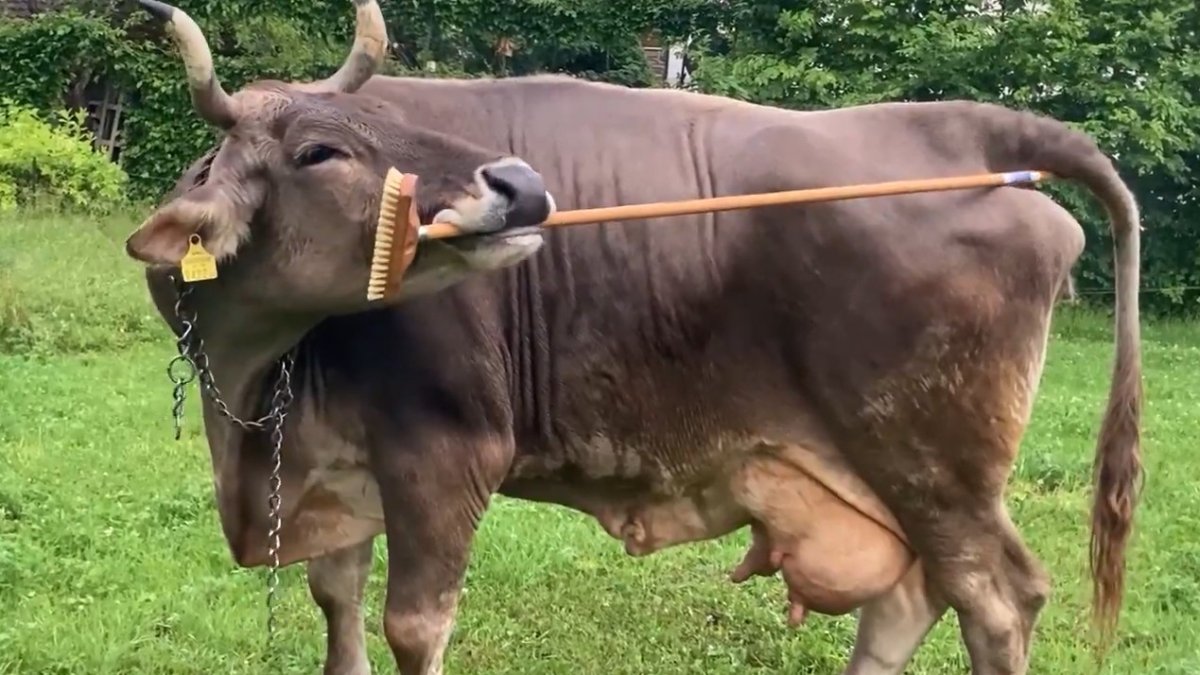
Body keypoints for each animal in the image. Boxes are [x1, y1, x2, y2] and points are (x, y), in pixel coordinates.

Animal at [124, 1, 1143, 674]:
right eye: (319, 150)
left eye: (381, 123)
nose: (522, 184)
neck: (258, 388)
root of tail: (963, 127)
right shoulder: (337, 467)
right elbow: (337, 604)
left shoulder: (446, 451)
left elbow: (414, 625)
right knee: (906, 602)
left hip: (937, 466)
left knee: (997, 601)